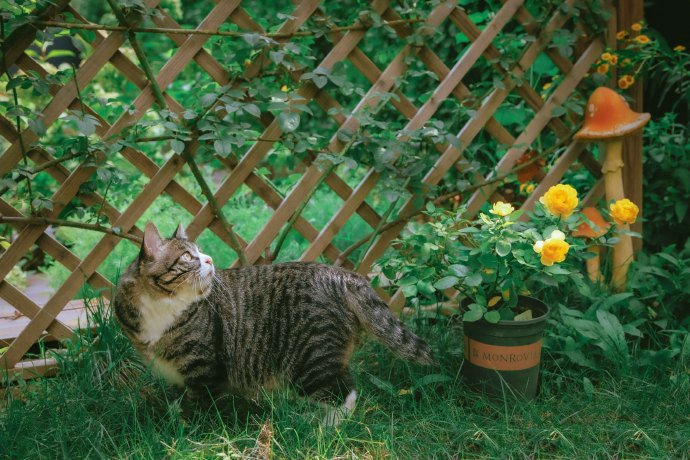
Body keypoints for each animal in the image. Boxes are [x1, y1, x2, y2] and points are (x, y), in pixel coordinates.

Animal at [114, 221, 436, 426]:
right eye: (187, 256)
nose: (210, 259)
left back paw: (321, 427)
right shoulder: (175, 373)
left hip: (312, 358)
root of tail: (341, 273)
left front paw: (183, 429)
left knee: (344, 394)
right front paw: (171, 416)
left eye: (199, 252)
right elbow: (177, 398)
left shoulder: (203, 369)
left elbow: (195, 404)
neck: (162, 305)